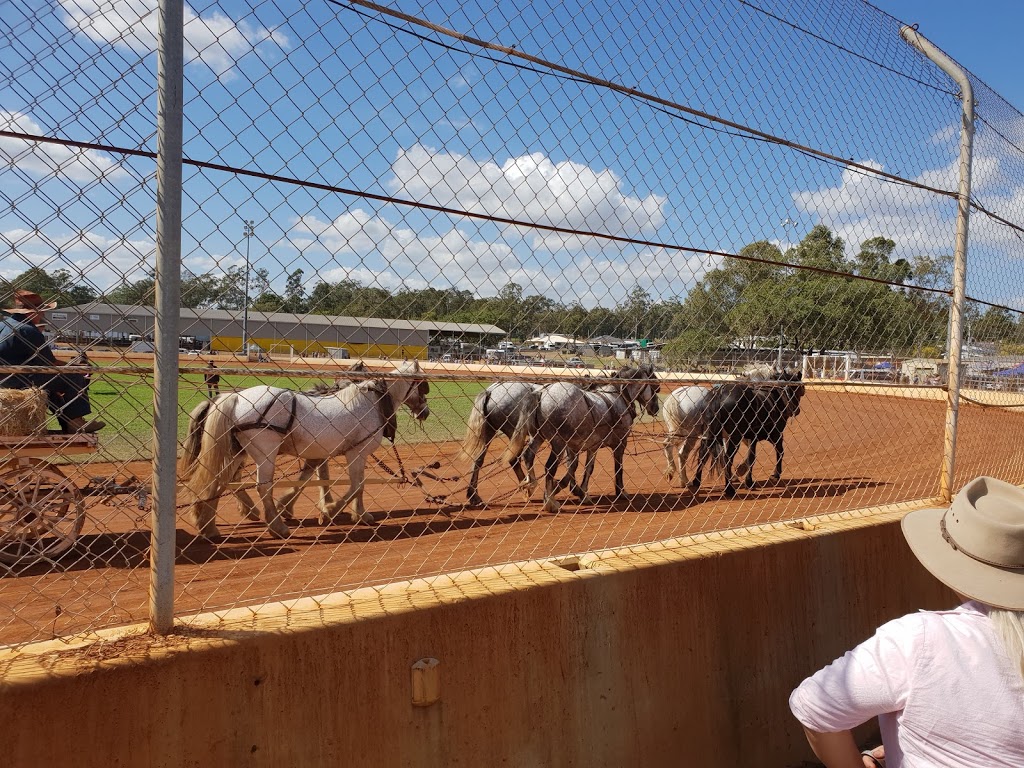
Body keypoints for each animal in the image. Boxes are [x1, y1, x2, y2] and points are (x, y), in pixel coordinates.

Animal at [180, 362, 428, 536]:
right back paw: (276, 526)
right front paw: (330, 511)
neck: (372, 403)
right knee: (261, 487)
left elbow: (329, 481)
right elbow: (356, 485)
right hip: (264, 452)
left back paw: (208, 526)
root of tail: (235, 398)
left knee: (218, 482)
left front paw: (359, 513)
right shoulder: (356, 451)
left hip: (235, 451)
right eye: (423, 385)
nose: (425, 412)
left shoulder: (326, 453)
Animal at [501, 364, 659, 514]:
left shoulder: (588, 446)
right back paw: (550, 503)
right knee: (549, 467)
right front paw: (621, 492)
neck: (617, 396)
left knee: (528, 455)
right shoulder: (620, 443)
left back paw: (530, 484)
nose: (656, 408)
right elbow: (617, 467)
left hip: (538, 436)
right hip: (557, 442)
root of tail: (542, 393)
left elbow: (584, 467)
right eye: (655, 387)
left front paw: (581, 492)